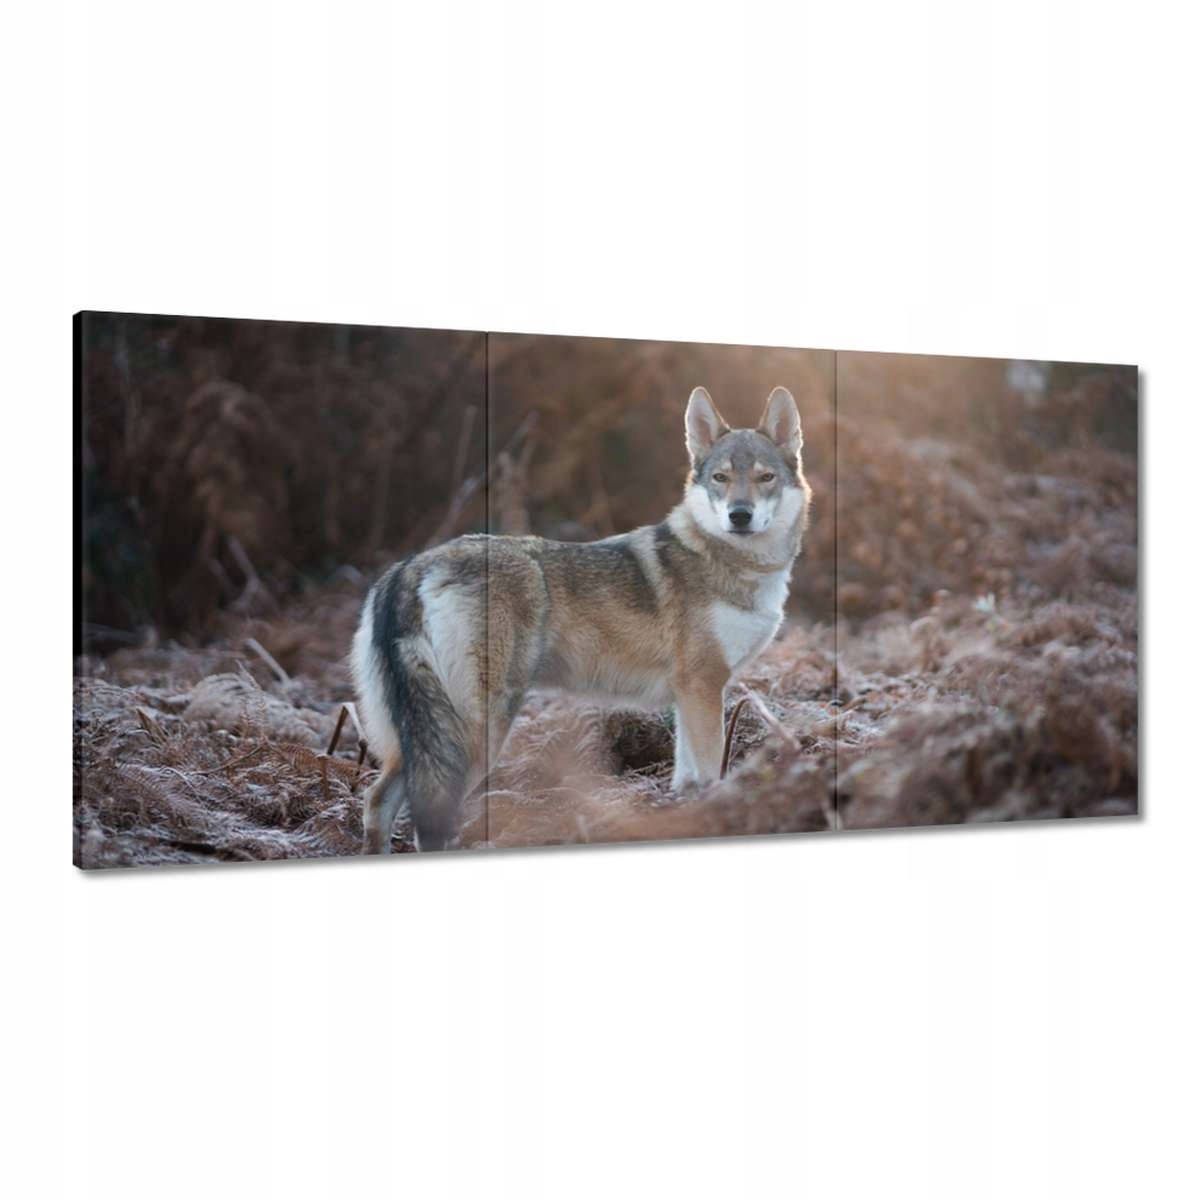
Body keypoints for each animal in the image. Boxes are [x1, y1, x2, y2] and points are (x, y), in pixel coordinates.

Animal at [352, 386, 812, 852]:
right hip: (477, 734)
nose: (740, 515)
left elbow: (686, 779)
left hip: (422, 739)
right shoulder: (703, 685)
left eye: (764, 478)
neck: (736, 564)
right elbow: (711, 771)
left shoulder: (690, 694)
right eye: (720, 478)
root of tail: (411, 566)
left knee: (376, 800)